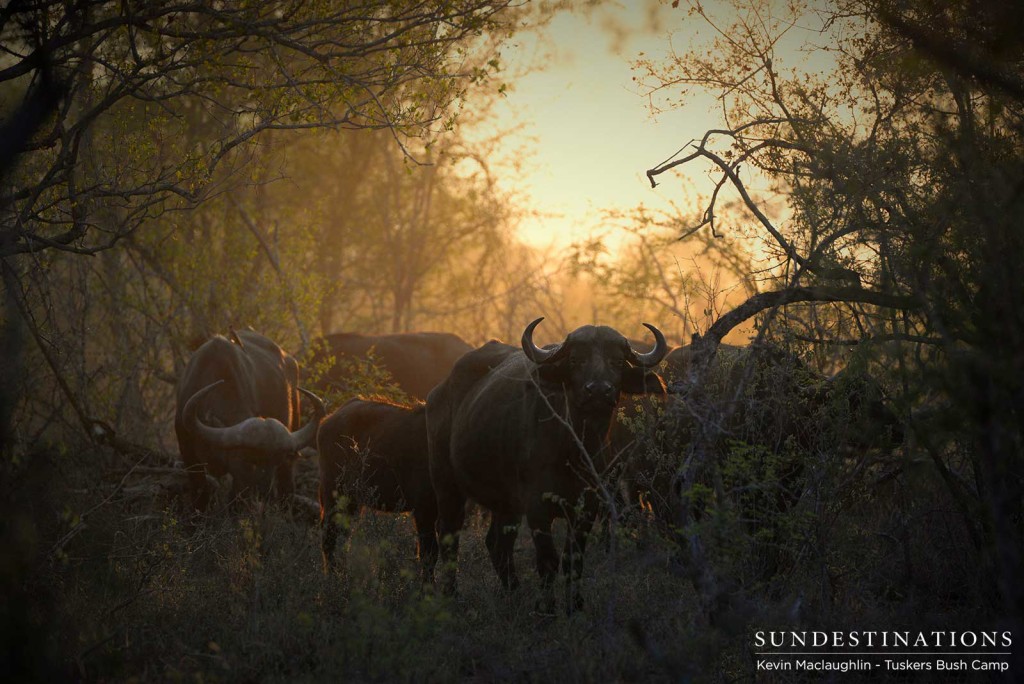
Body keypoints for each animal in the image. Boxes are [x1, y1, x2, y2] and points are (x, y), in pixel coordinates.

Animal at [315, 397, 436, 581]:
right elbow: (428, 554)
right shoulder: (423, 508)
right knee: (329, 536)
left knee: (343, 535)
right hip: (334, 494)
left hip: (352, 501)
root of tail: (329, 419)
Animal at [425, 317, 671, 610]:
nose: (599, 390)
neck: (574, 448)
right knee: (448, 537)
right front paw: (548, 609)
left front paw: (575, 605)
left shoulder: (588, 505)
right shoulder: (536, 506)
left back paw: (513, 591)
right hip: (446, 485)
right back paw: (452, 594)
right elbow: (548, 560)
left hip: (505, 502)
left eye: (618, 361)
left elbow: (573, 560)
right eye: (576, 360)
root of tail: (438, 392)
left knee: (497, 543)